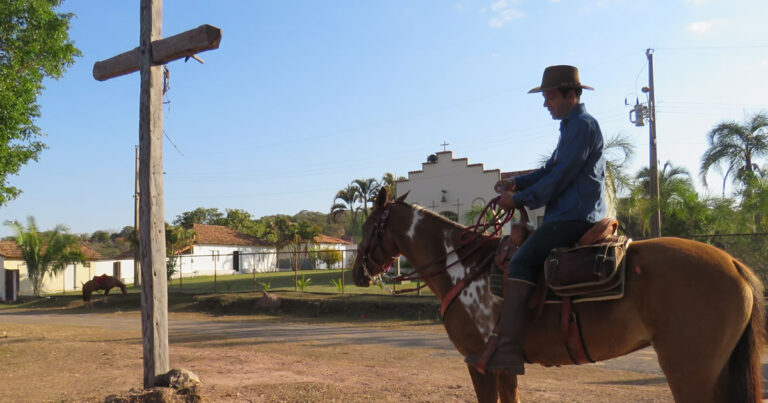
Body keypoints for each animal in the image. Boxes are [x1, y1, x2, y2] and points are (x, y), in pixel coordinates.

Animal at [352, 189, 764, 403]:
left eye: (370, 225)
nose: (358, 274)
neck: (464, 267)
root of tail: (734, 264)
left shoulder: (478, 361)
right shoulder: (503, 366)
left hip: (690, 374)